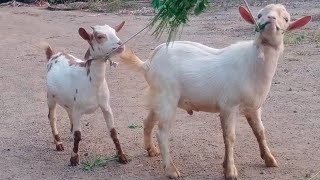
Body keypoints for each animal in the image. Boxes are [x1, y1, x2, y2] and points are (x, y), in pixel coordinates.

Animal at [42, 21, 128, 166]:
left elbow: (113, 132)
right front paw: (74, 159)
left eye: (115, 32)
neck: (92, 83)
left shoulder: (106, 106)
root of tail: (53, 55)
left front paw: (122, 156)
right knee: (52, 117)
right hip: (50, 97)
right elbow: (78, 135)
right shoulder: (78, 109)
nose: (120, 45)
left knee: (68, 111)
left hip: (68, 101)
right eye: (100, 36)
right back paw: (58, 143)